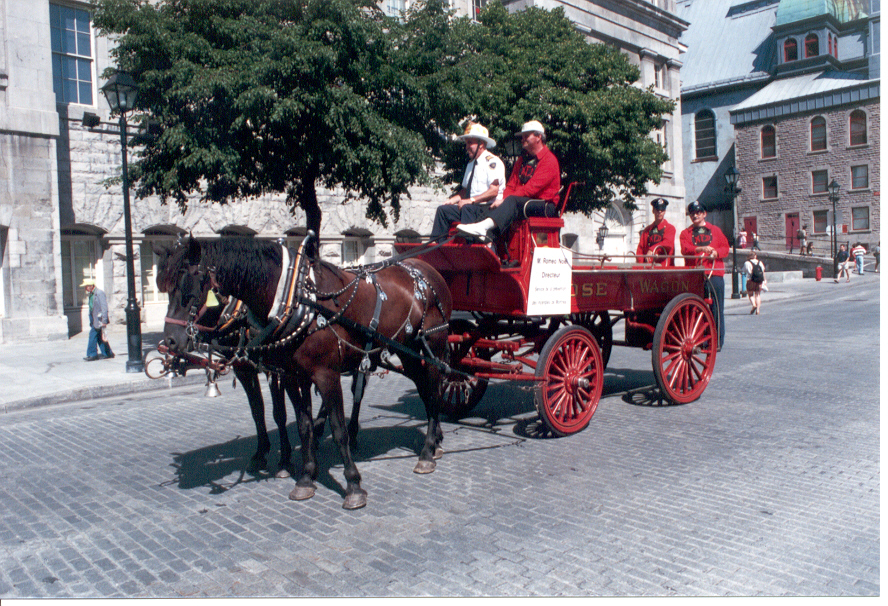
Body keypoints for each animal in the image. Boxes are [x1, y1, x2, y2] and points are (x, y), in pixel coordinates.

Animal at [157, 235, 453, 510]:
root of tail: (426, 269)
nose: (169, 342)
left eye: (190, 289)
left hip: (433, 346)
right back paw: (433, 441)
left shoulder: (324, 374)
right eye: (166, 289)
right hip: (406, 349)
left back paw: (427, 451)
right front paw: (305, 476)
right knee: (423, 390)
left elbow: (335, 428)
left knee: (434, 390)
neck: (296, 299)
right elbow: (296, 422)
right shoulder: (287, 373)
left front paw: (352, 484)